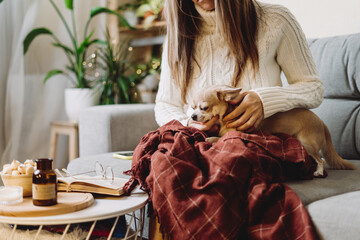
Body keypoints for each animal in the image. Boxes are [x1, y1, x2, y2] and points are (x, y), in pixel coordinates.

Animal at [187, 85, 356, 175]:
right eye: (192, 107)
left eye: (204, 108)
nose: (192, 116)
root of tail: (322, 123)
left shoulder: (240, 132)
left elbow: (221, 138)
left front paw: (211, 139)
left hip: (306, 142)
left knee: (320, 159)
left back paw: (319, 172)